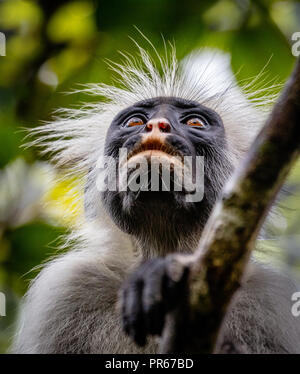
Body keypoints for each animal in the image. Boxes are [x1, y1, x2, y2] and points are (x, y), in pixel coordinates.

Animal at [11, 46, 300, 354]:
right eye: (135, 121)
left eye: (195, 122)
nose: (156, 125)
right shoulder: (66, 290)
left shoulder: (271, 301)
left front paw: (169, 272)